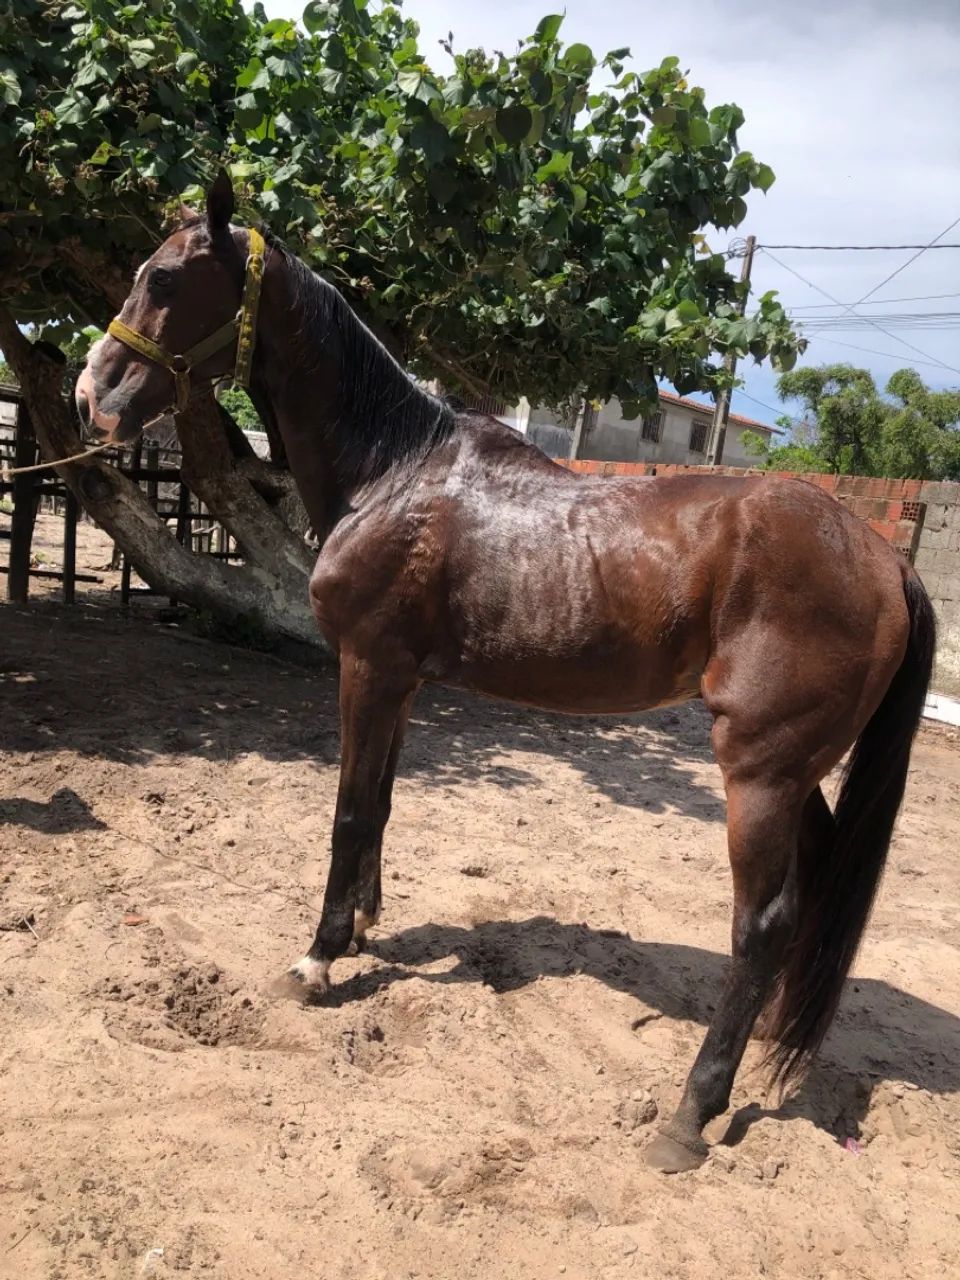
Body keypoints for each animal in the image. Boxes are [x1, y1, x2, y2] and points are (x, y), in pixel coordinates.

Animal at [76, 173, 935, 1174]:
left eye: (166, 279)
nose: (95, 394)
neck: (394, 470)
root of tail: (884, 558)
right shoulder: (401, 679)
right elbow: (381, 804)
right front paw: (363, 928)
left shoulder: (366, 667)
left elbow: (348, 811)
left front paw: (319, 958)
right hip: (801, 774)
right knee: (814, 898)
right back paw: (765, 1039)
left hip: (759, 771)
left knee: (762, 924)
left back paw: (692, 1110)